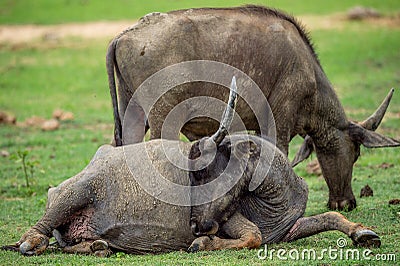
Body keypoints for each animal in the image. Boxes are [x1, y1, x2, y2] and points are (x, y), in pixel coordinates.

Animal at [2, 79, 382, 256]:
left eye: (200, 171)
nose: (196, 224)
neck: (275, 198)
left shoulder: (288, 229)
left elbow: (330, 216)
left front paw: (363, 233)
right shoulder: (230, 220)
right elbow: (253, 236)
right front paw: (202, 244)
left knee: (69, 244)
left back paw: (98, 247)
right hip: (74, 192)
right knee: (39, 233)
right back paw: (32, 242)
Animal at [107, 5, 400, 211]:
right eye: (356, 154)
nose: (346, 203)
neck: (308, 73)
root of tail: (125, 36)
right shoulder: (279, 122)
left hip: (133, 116)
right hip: (161, 119)